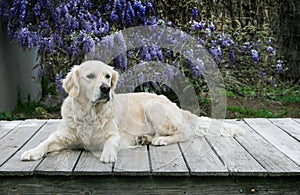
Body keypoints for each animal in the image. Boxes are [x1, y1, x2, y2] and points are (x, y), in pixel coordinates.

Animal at [21, 60, 240, 163]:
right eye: (90, 76)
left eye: (107, 76)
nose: (105, 89)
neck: (89, 113)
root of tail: (176, 105)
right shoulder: (62, 136)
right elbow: (45, 142)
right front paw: (32, 152)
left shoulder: (115, 135)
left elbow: (110, 142)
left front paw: (108, 155)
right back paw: (145, 138)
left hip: (154, 106)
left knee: (184, 133)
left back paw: (160, 140)